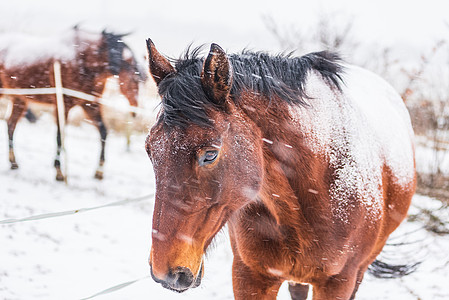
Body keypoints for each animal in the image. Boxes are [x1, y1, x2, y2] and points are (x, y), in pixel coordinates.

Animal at [0, 27, 144, 180]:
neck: (81, 60)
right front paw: (59, 172)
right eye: (135, 77)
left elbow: (103, 132)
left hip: (19, 100)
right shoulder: (62, 105)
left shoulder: (90, 105)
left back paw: (13, 163)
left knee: (10, 125)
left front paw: (99, 171)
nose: (135, 109)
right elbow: (59, 135)